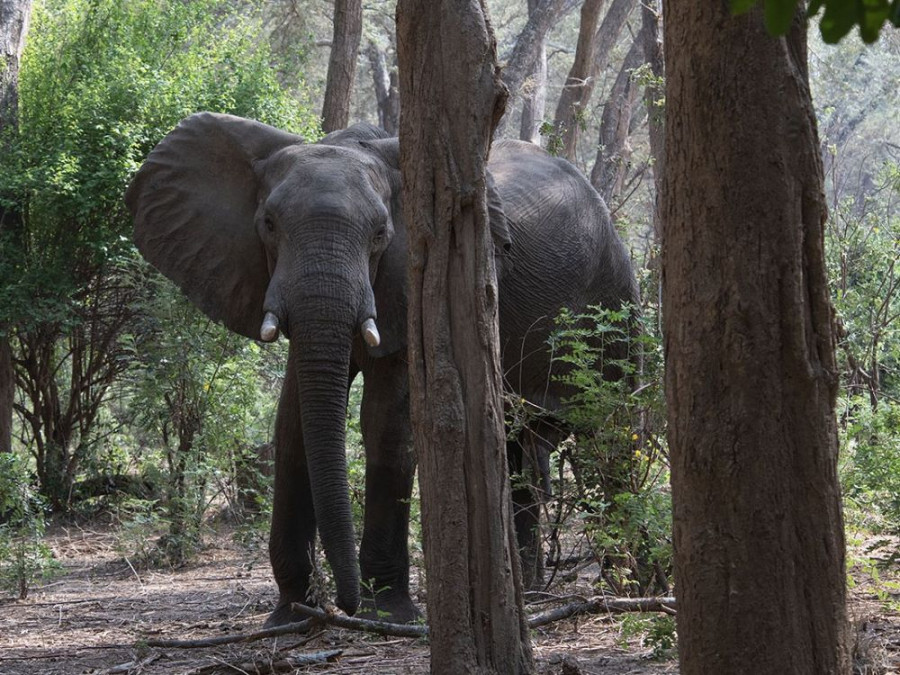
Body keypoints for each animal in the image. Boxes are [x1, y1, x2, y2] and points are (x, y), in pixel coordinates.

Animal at [125, 115, 640, 628]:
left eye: (380, 234)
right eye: (268, 225)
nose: (342, 606)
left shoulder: (411, 286)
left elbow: (386, 421)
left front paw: (387, 614)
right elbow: (291, 423)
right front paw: (290, 616)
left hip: (615, 295)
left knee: (611, 439)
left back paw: (625, 585)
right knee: (517, 447)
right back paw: (532, 592)